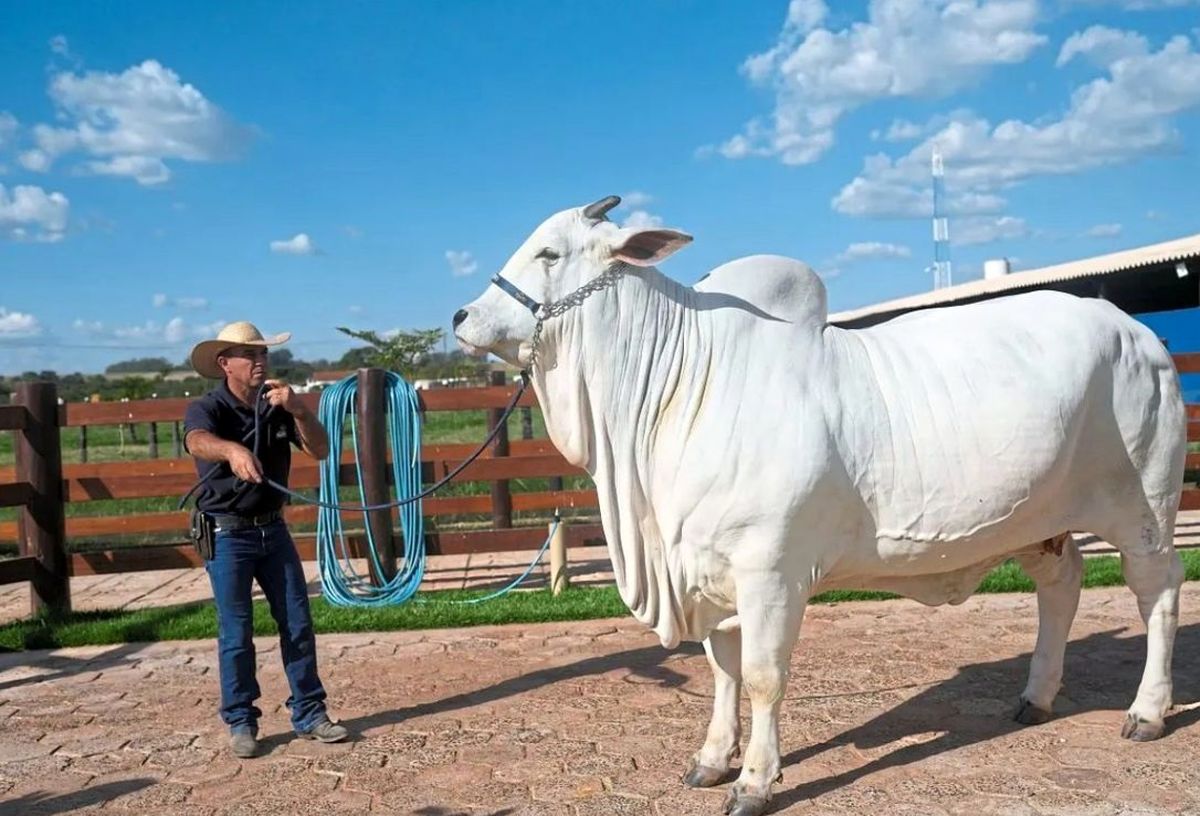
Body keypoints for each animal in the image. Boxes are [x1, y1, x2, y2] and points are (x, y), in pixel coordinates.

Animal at [451, 198, 1190, 816]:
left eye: (550, 252)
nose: (460, 317)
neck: (679, 389)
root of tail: (1138, 332)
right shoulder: (711, 572)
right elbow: (721, 670)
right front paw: (712, 759)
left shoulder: (770, 572)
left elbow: (762, 676)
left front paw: (754, 781)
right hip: (1042, 523)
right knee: (1061, 587)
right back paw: (1036, 696)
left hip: (1144, 510)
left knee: (1157, 592)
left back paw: (1147, 712)